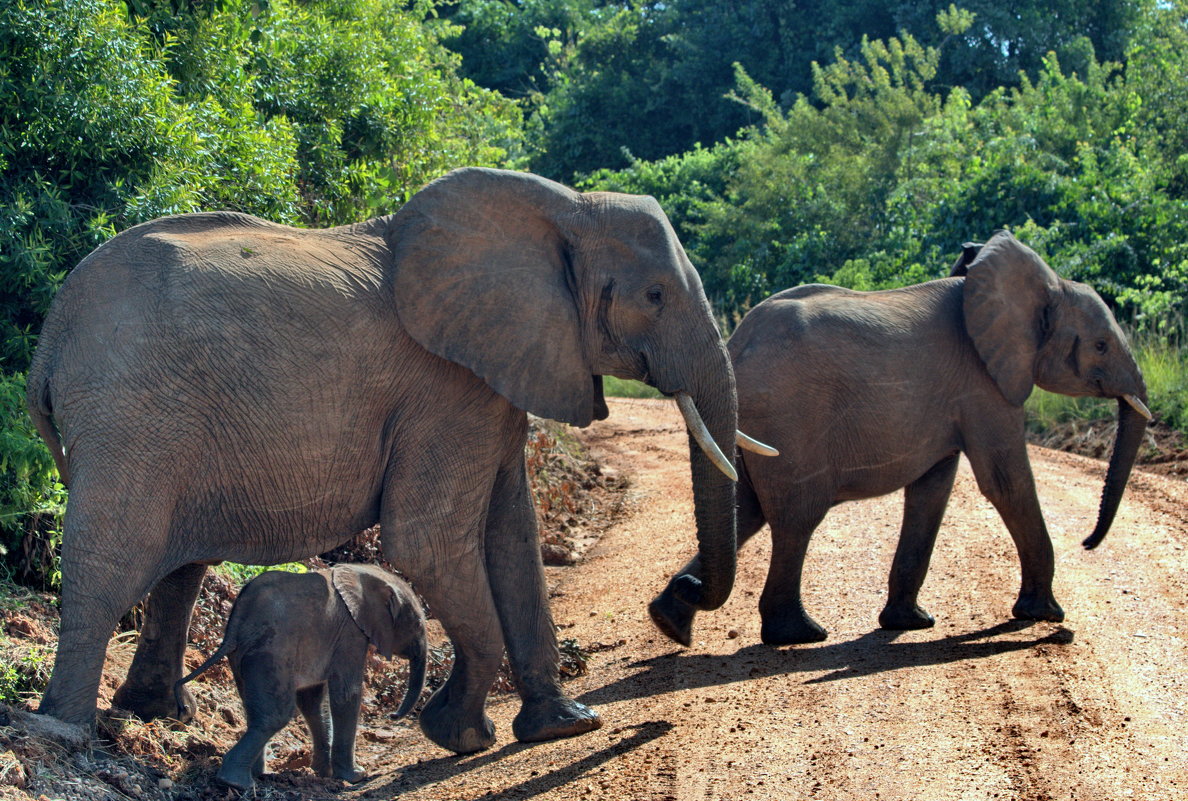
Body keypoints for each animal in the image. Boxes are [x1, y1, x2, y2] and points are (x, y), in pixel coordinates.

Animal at [25, 165, 741, 751]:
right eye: (654, 296)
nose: (677, 612)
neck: (563, 207)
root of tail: (51, 332)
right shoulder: (447, 389)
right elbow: (427, 541)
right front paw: (459, 737)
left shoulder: (492, 379)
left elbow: (513, 531)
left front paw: (564, 726)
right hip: (129, 413)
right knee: (112, 561)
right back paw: (65, 727)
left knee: (179, 569)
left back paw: (157, 716)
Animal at [175, 560, 427, 784]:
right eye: (417, 624)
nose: (392, 716)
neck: (362, 573)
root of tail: (235, 625)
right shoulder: (350, 633)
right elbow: (346, 694)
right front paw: (355, 777)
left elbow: (312, 701)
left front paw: (324, 774)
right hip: (271, 652)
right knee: (276, 714)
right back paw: (235, 782)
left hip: (241, 657)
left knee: (254, 709)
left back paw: (257, 775)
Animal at [651, 228, 1149, 646]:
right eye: (1101, 345)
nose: (1087, 543)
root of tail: (737, 343)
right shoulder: (985, 384)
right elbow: (1005, 482)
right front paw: (1044, 615)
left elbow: (932, 490)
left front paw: (909, 623)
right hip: (787, 420)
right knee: (796, 518)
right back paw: (799, 635)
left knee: (748, 509)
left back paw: (672, 623)